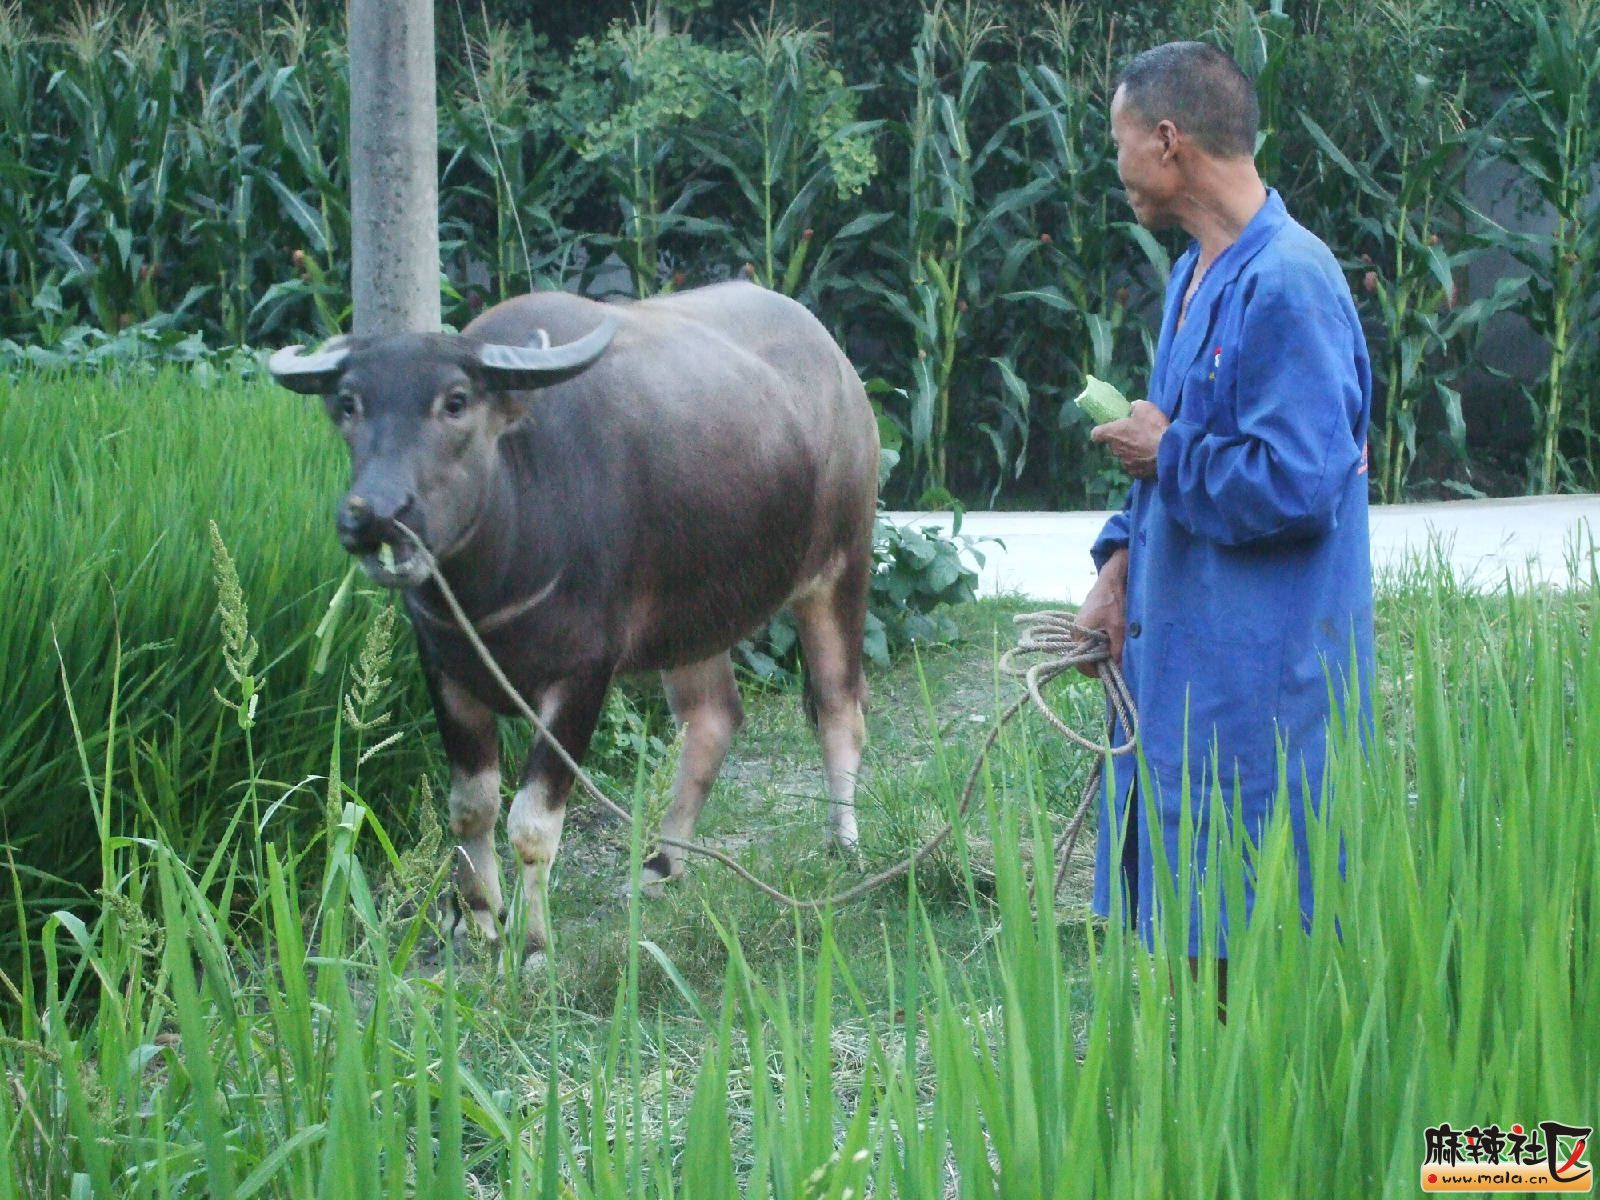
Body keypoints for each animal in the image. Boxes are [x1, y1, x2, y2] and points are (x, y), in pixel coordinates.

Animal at [272, 281, 876, 960]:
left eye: (455, 401)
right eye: (349, 403)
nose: (374, 515)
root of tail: (838, 368)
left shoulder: (583, 676)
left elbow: (532, 822)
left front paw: (533, 944)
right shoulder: (445, 669)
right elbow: (472, 807)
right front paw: (478, 921)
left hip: (841, 568)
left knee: (839, 710)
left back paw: (843, 843)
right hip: (694, 618)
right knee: (713, 718)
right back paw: (664, 864)